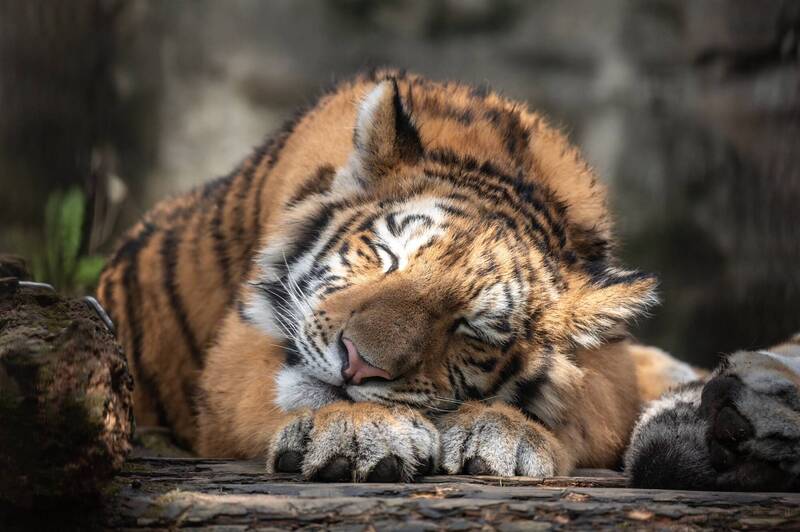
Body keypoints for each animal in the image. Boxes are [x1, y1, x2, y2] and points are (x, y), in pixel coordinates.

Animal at [95, 70, 800, 490]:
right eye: (386, 256)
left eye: (470, 329)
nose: (357, 365)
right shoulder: (236, 353)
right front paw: (358, 430)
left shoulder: (609, 367)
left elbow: (584, 411)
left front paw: (507, 434)